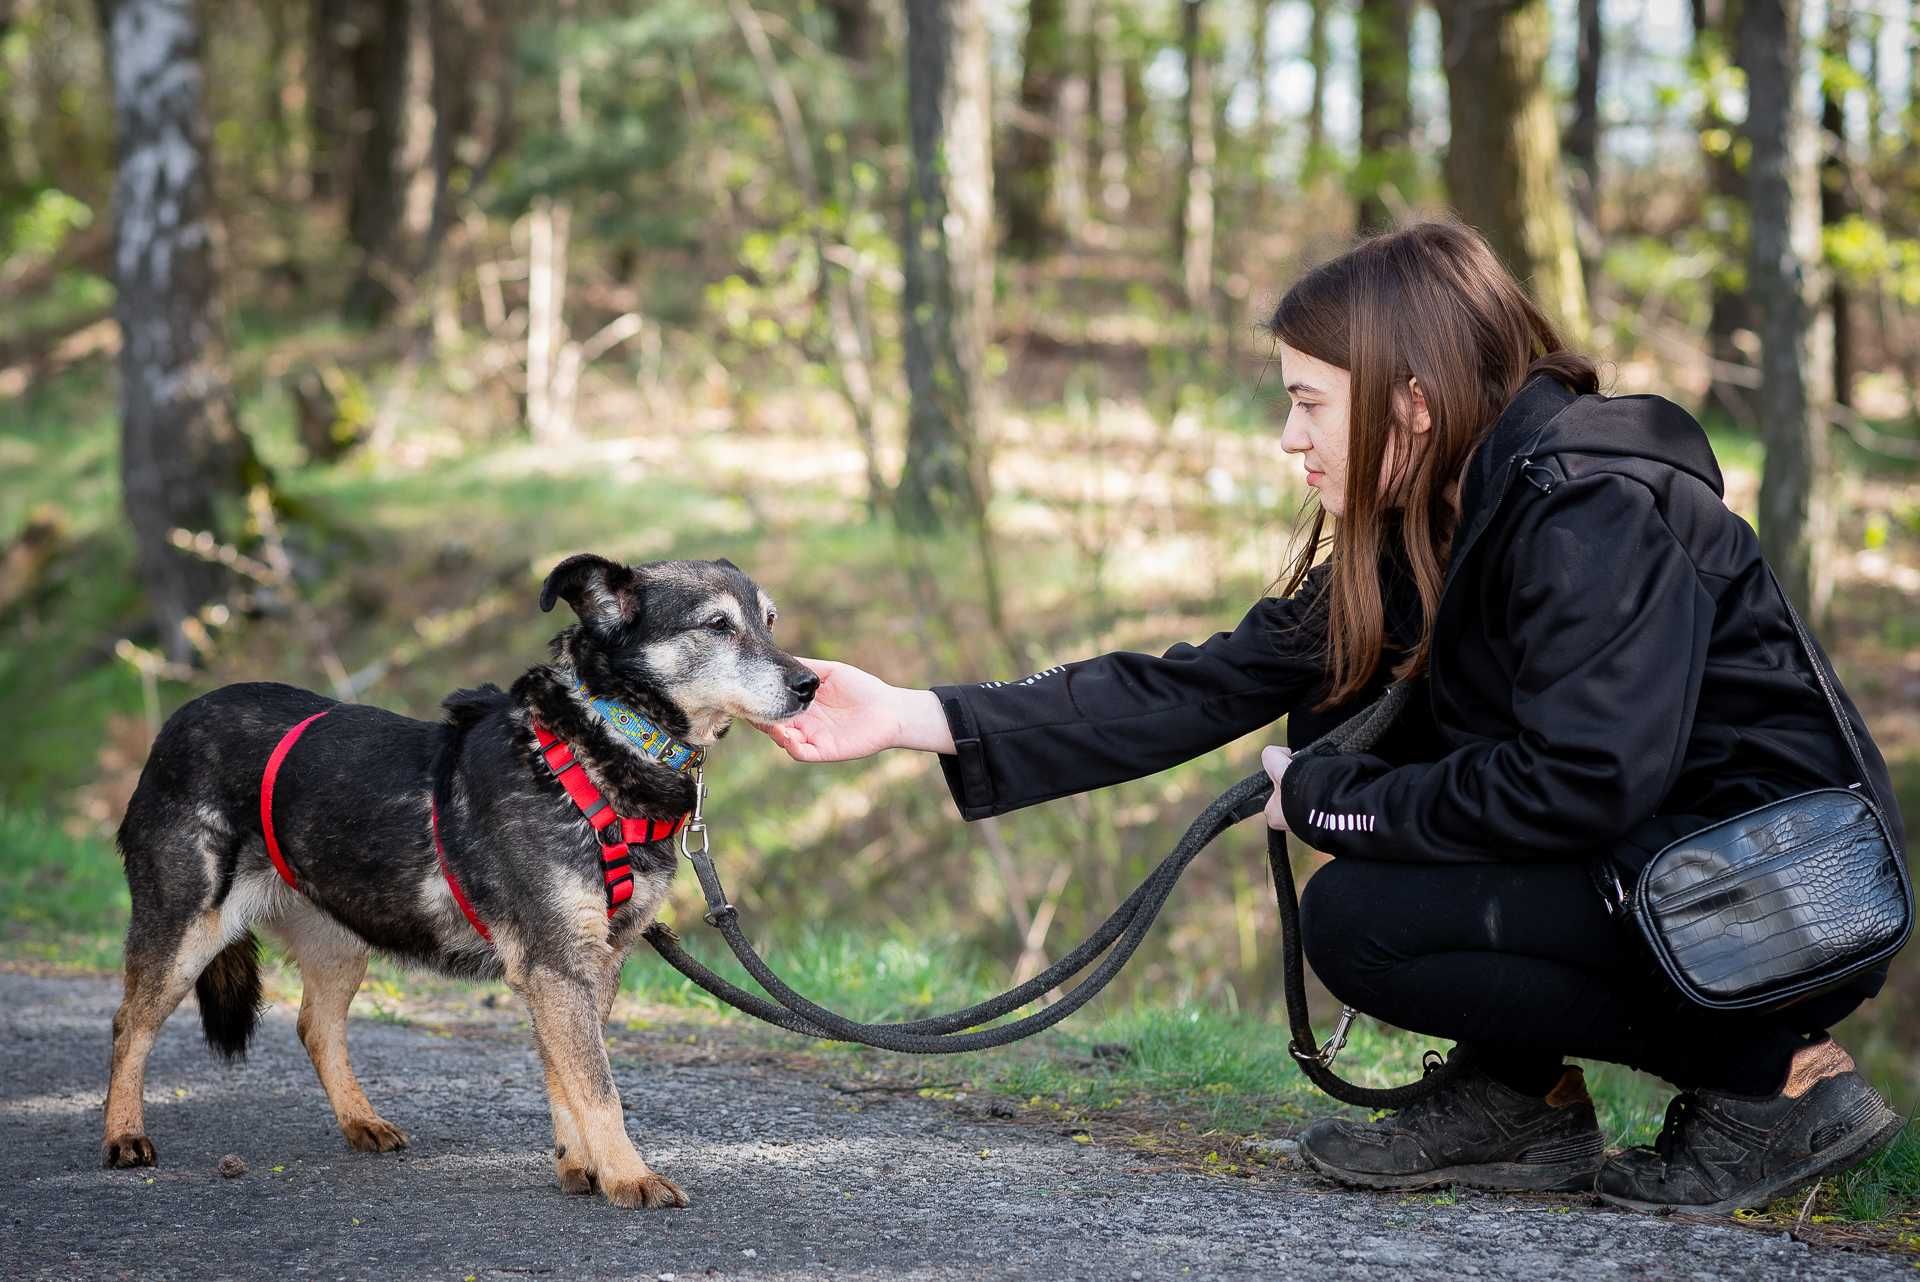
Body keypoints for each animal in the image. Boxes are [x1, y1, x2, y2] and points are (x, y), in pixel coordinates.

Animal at [103, 556, 817, 1205]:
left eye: (769, 621)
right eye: (718, 625)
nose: (811, 683)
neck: (599, 746)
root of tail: (178, 720)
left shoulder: (590, 964)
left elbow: (566, 1077)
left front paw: (579, 1165)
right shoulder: (557, 964)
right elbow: (597, 1087)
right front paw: (628, 1176)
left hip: (339, 935)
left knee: (315, 1026)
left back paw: (361, 1121)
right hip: (184, 929)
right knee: (128, 1023)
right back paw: (123, 1135)